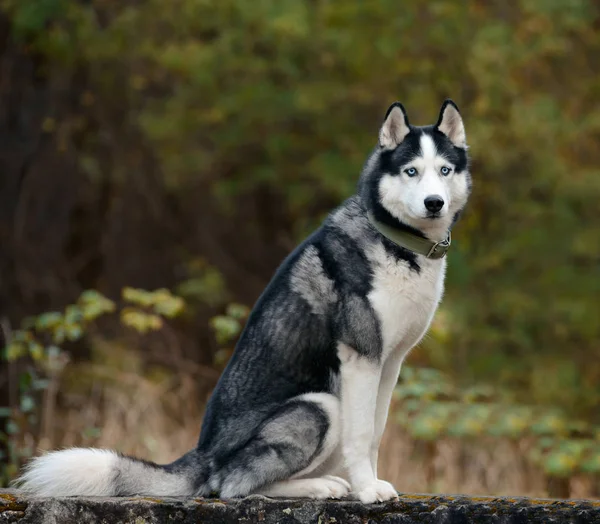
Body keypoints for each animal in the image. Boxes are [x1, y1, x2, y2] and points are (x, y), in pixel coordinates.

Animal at [16, 99, 472, 504]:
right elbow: (361, 436)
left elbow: (375, 432)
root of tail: (201, 456)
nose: (435, 203)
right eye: (411, 171)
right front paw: (366, 490)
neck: (396, 241)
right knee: (231, 485)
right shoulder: (361, 357)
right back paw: (317, 487)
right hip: (321, 405)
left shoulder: (388, 362)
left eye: (444, 170)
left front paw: (371, 482)